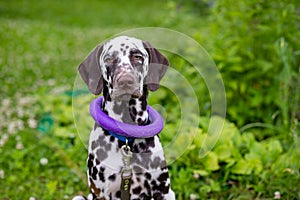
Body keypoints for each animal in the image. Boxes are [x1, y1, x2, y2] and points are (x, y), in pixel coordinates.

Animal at [73, 36, 176, 200]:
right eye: (109, 59)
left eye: (138, 56)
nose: (125, 81)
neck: (127, 138)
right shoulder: (101, 193)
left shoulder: (164, 191)